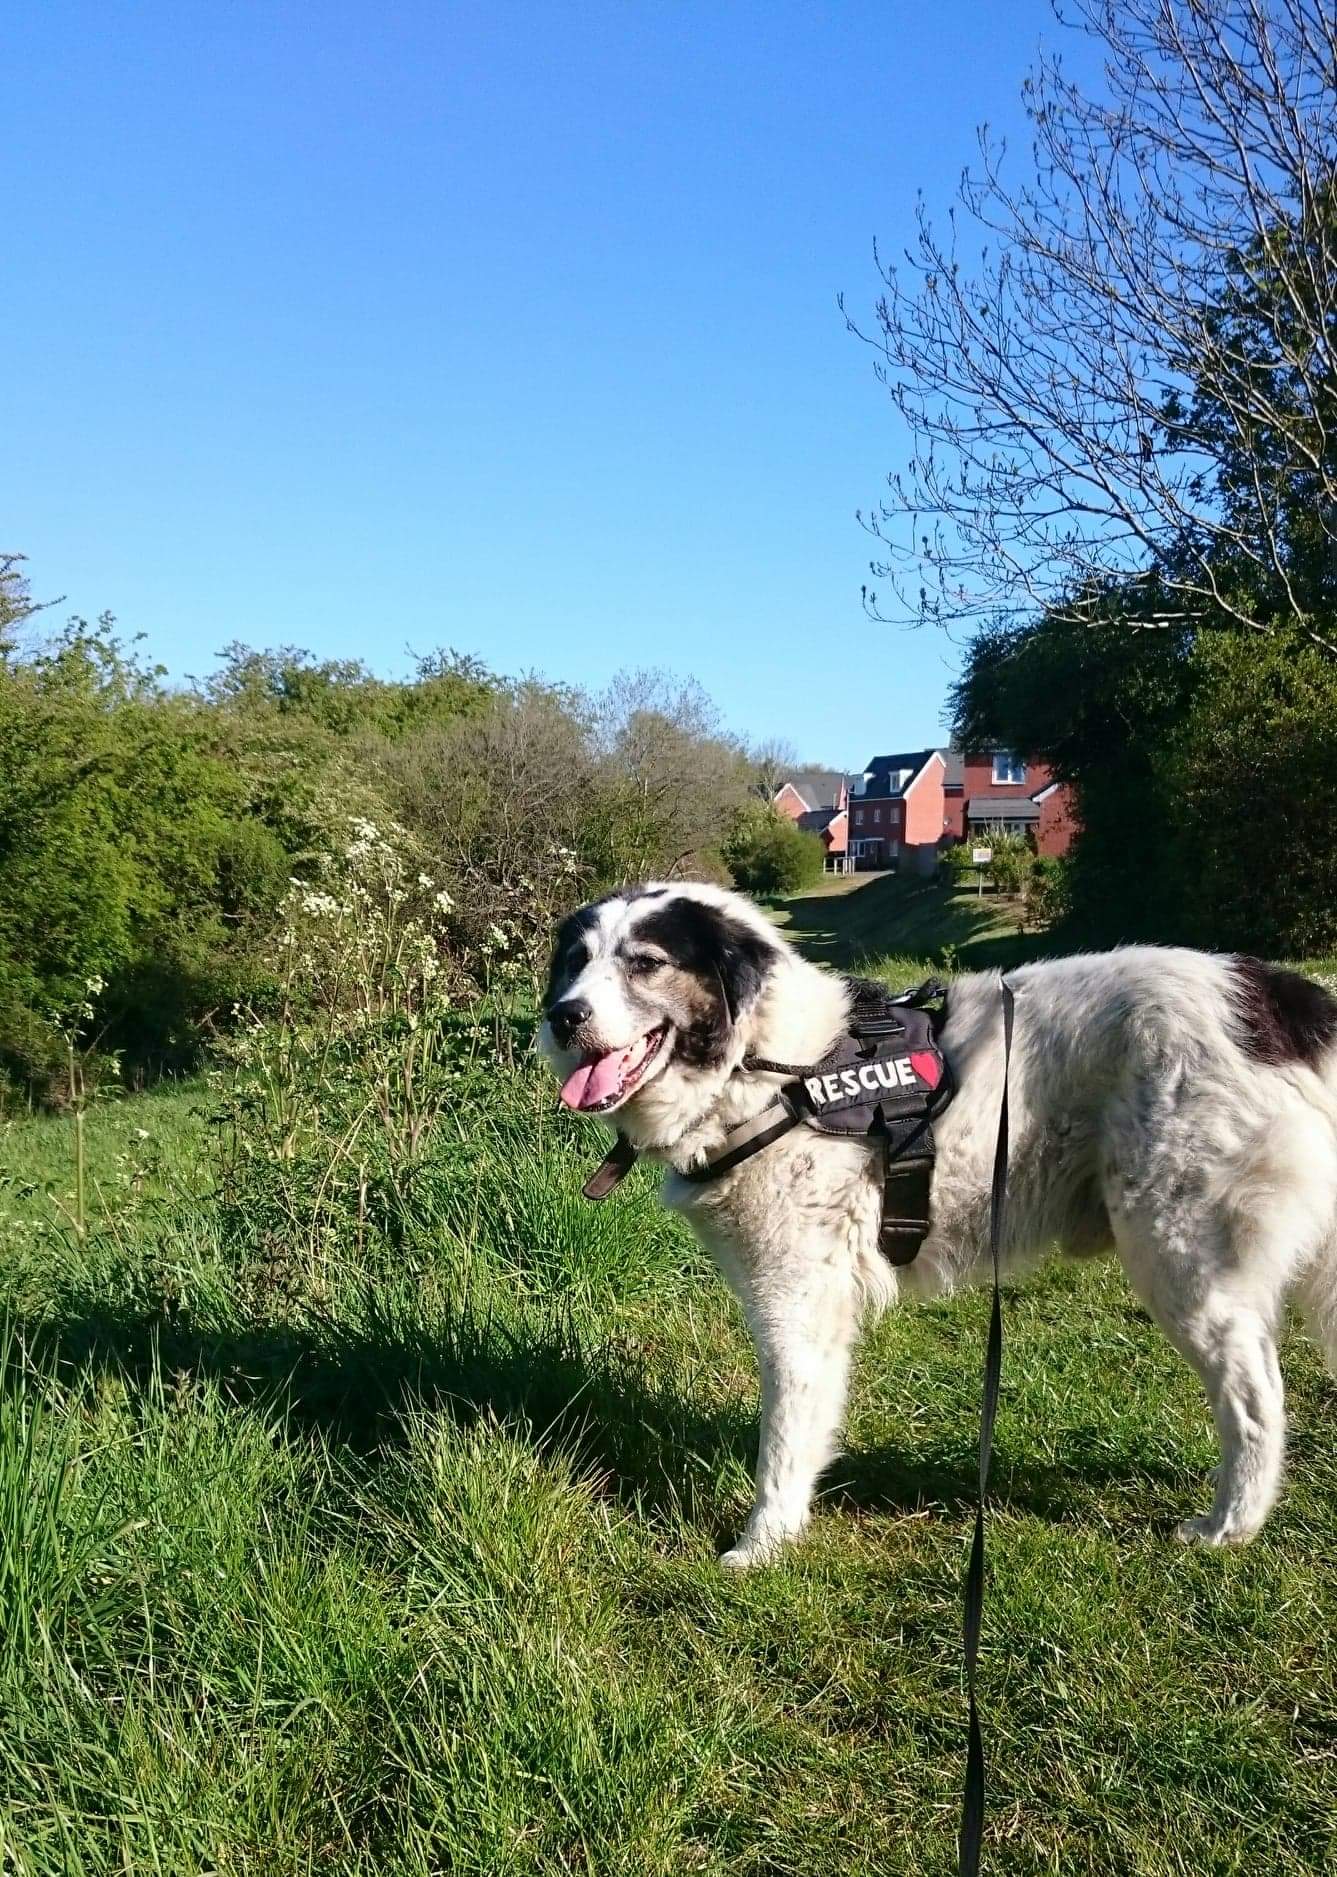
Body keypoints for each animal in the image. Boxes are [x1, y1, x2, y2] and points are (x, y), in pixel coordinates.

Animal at [540, 885, 1337, 1561]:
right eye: (575, 962)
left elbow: (785, 1437)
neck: (774, 1072)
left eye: (645, 963)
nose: (562, 1016)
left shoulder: (797, 1303)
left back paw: (1230, 1525)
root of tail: (1280, 997)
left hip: (1180, 1258)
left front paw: (763, 1544)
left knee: (1256, 1397)